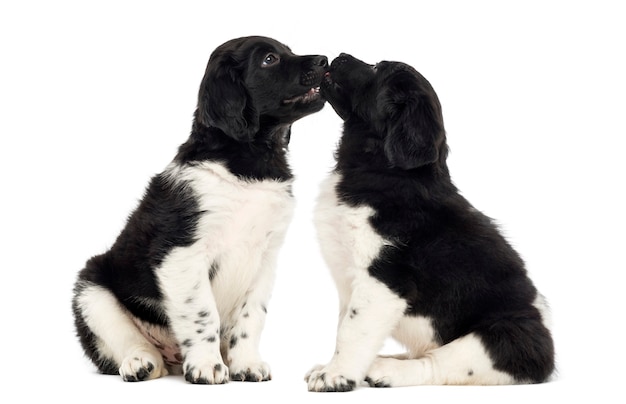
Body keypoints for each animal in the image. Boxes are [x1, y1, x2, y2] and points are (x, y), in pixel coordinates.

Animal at [71, 36, 326, 384]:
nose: (324, 60)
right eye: (269, 59)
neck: (249, 160)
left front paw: (247, 364)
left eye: (287, 50)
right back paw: (141, 363)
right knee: (125, 341)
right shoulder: (182, 252)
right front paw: (206, 365)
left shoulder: (266, 258)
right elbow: (203, 313)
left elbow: (251, 316)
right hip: (91, 290)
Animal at [304, 53, 552, 392]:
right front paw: (331, 367)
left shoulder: (383, 279)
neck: (382, 168)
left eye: (377, 68)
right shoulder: (349, 277)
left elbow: (352, 332)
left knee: (439, 362)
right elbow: (344, 325)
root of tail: (549, 358)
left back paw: (387, 370)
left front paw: (337, 375)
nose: (339, 56)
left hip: (502, 334)